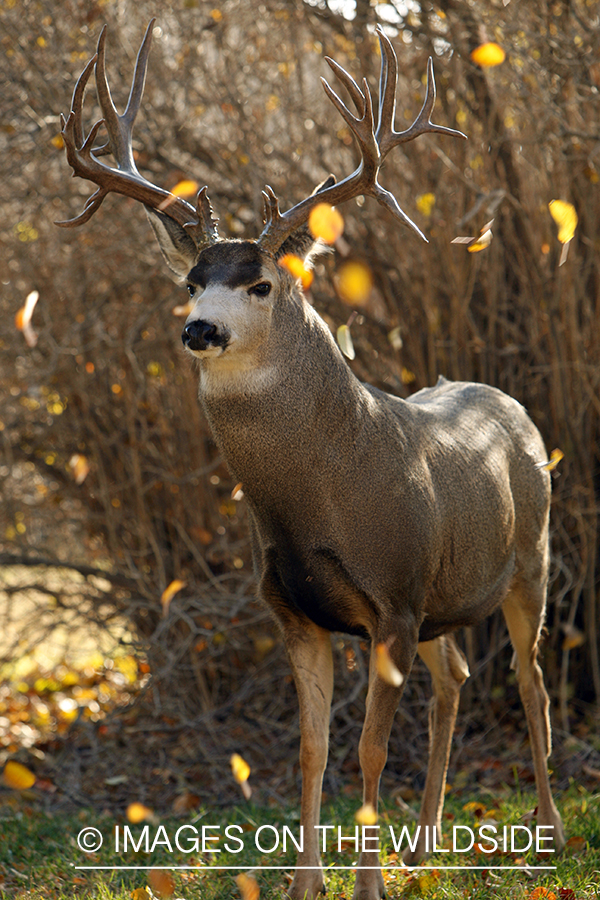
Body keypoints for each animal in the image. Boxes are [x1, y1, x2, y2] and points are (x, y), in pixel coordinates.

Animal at [58, 20, 565, 900]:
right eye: (191, 280)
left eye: (260, 283)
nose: (199, 328)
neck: (323, 491)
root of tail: (510, 403)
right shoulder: (299, 611)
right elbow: (310, 750)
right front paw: (306, 884)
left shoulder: (392, 600)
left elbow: (368, 749)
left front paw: (363, 885)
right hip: (442, 597)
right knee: (459, 679)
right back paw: (424, 848)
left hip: (529, 555)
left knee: (530, 682)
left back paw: (547, 833)